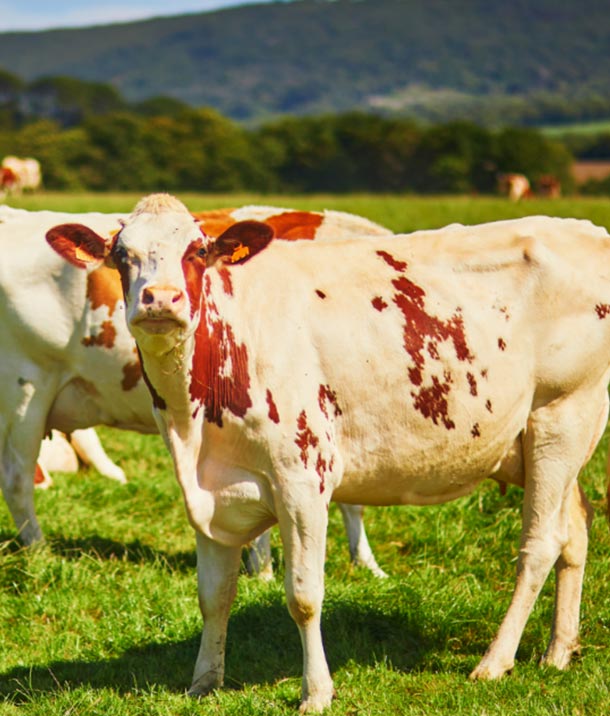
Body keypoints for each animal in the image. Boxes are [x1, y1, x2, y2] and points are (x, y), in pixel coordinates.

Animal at [46, 193, 610, 712]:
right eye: (122, 254)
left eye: (198, 250)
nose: (160, 300)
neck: (197, 419)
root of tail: (585, 231)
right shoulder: (207, 490)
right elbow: (214, 595)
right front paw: (203, 681)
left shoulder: (302, 479)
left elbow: (304, 595)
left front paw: (316, 691)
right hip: (541, 442)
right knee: (575, 531)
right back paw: (558, 651)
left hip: (561, 417)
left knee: (540, 545)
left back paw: (495, 660)